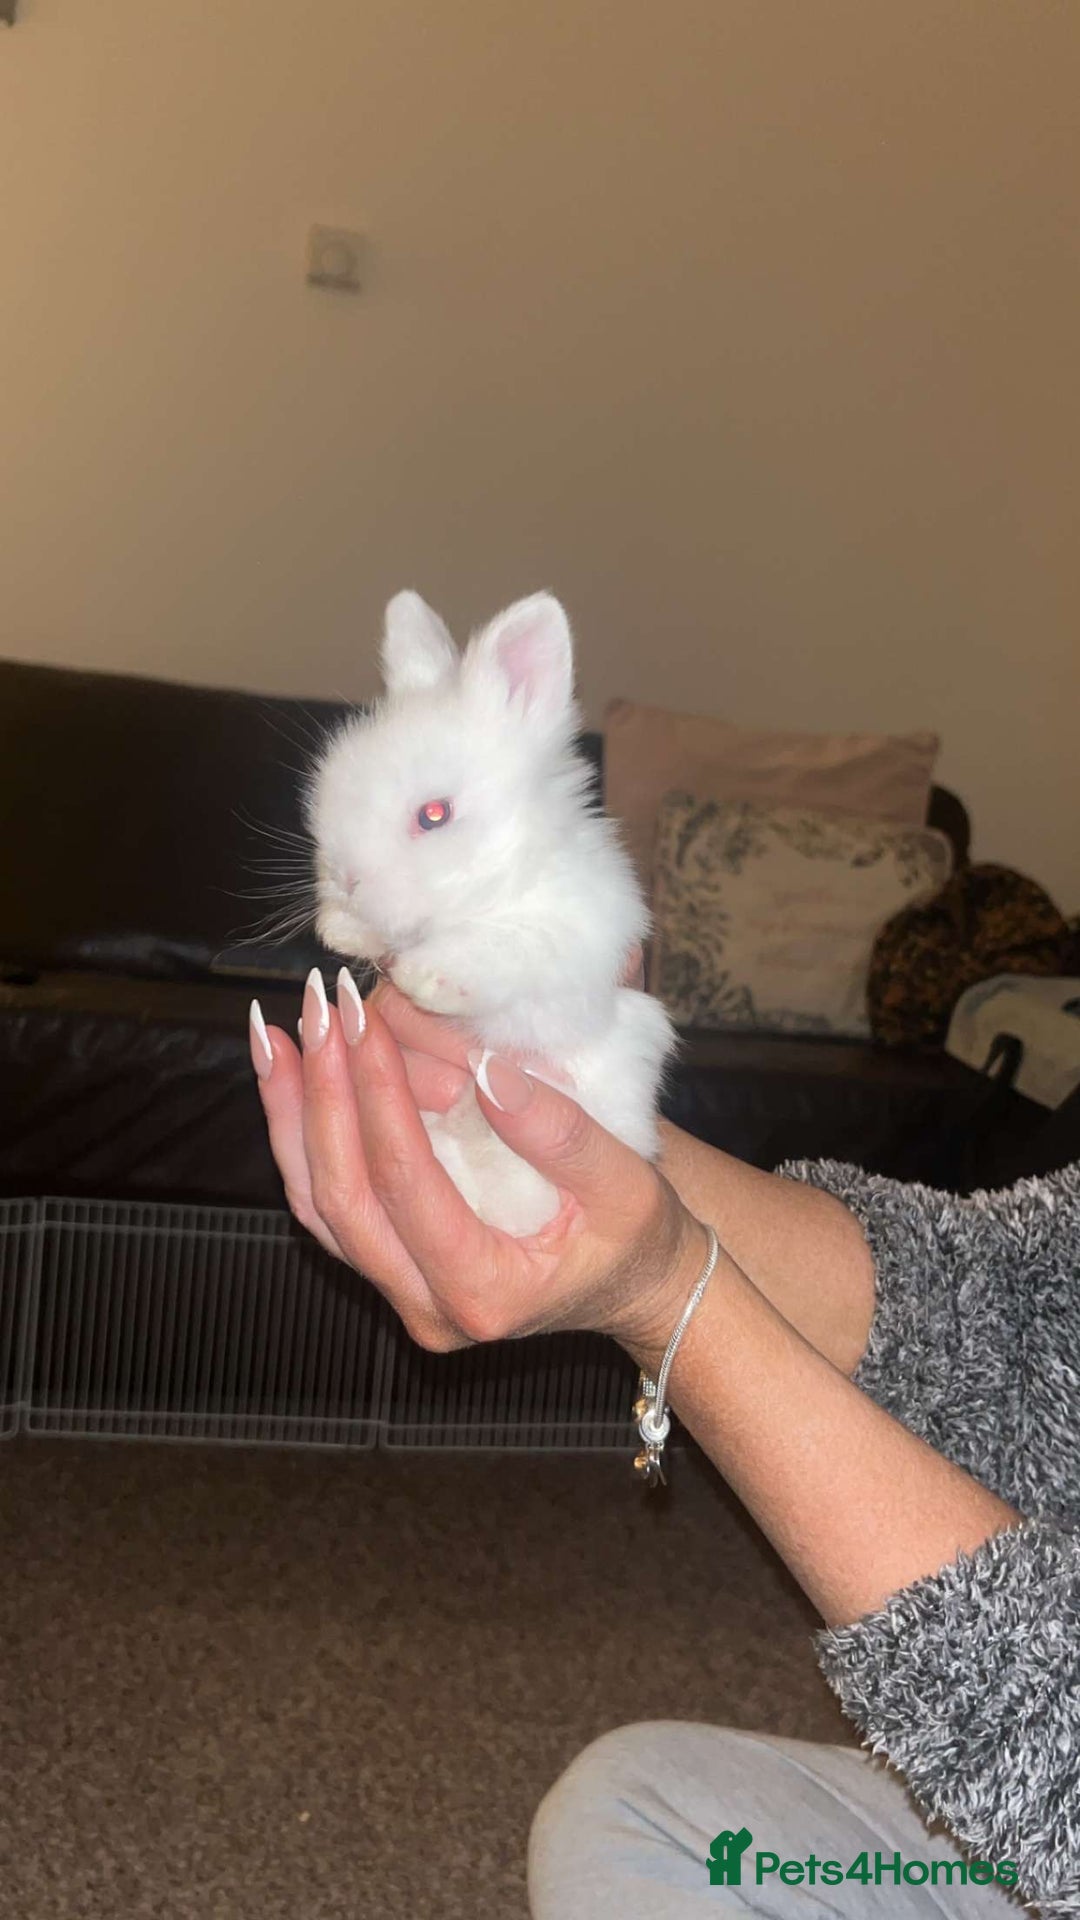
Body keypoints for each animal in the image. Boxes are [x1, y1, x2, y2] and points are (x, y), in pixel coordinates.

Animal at [306, 589, 677, 1235]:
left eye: (434, 814)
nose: (345, 878)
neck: (502, 879)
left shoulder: (569, 963)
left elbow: (508, 949)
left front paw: (425, 976)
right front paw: (343, 930)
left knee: (523, 1202)